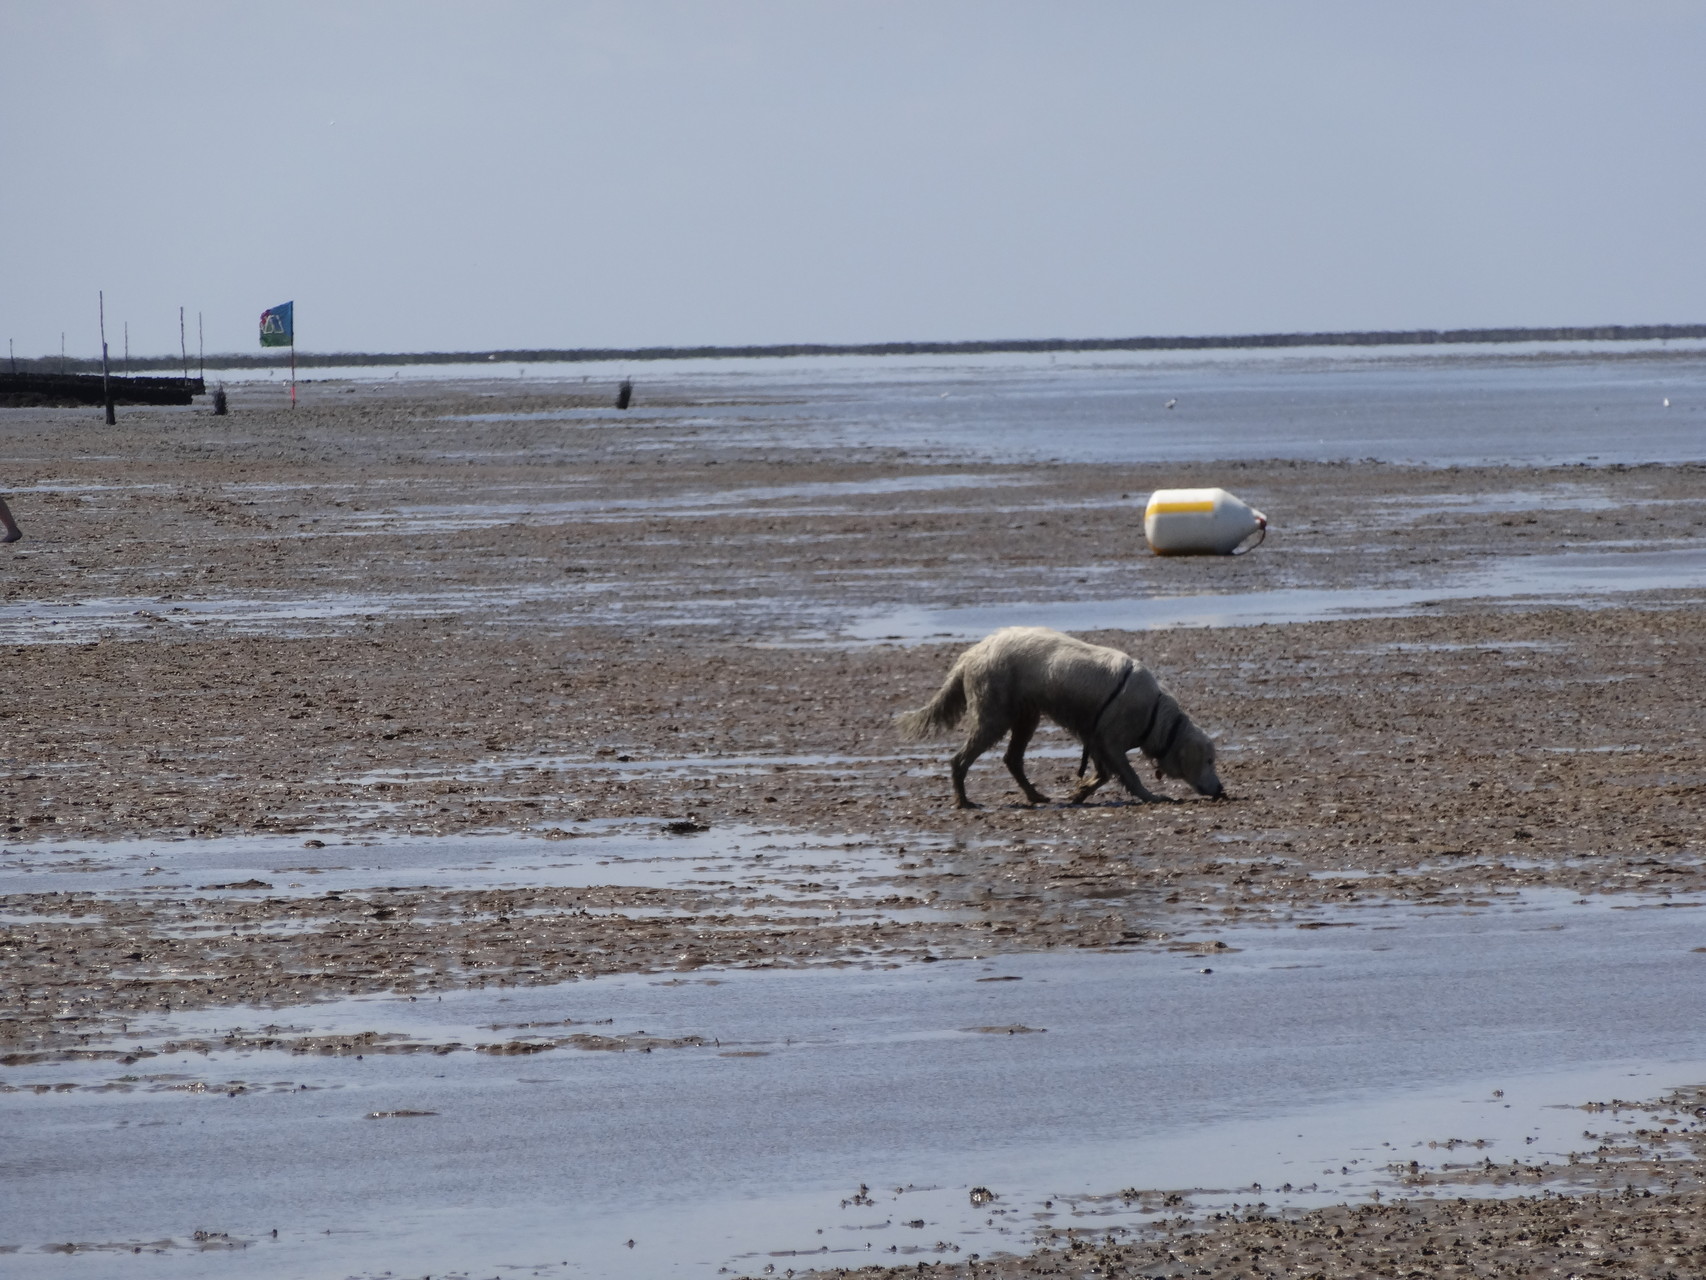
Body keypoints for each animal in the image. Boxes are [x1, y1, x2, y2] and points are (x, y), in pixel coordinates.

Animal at [893, 628, 1228, 812]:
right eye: (1209, 760)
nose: (1221, 789)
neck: (1155, 713)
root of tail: (973, 652)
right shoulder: (1109, 741)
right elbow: (1129, 776)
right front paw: (1152, 796)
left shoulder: (1095, 739)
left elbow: (1103, 774)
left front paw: (1080, 792)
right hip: (993, 717)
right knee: (959, 760)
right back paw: (964, 801)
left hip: (1025, 717)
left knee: (1012, 759)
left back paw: (1035, 795)